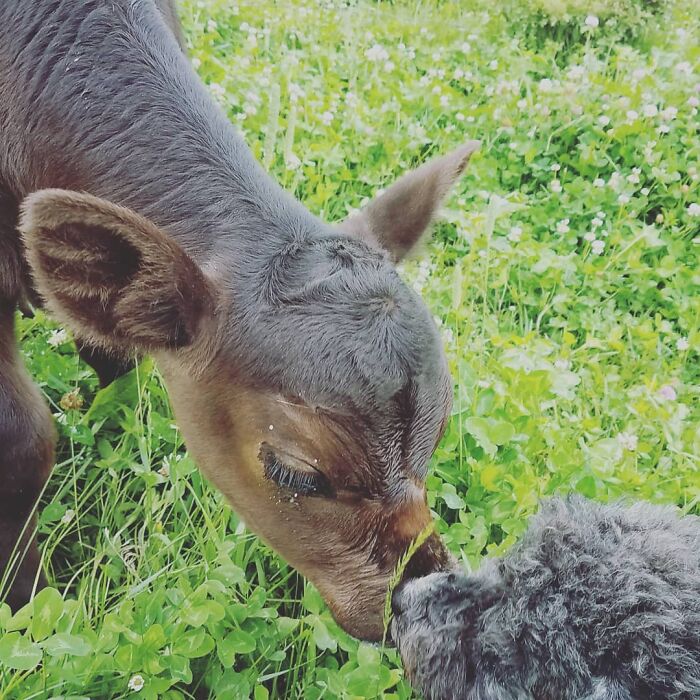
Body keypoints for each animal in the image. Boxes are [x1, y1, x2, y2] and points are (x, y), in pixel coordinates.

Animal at [0, 0, 478, 640]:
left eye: (440, 431)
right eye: (295, 474)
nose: (421, 596)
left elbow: (109, 350)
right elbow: (22, 439)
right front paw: (25, 604)